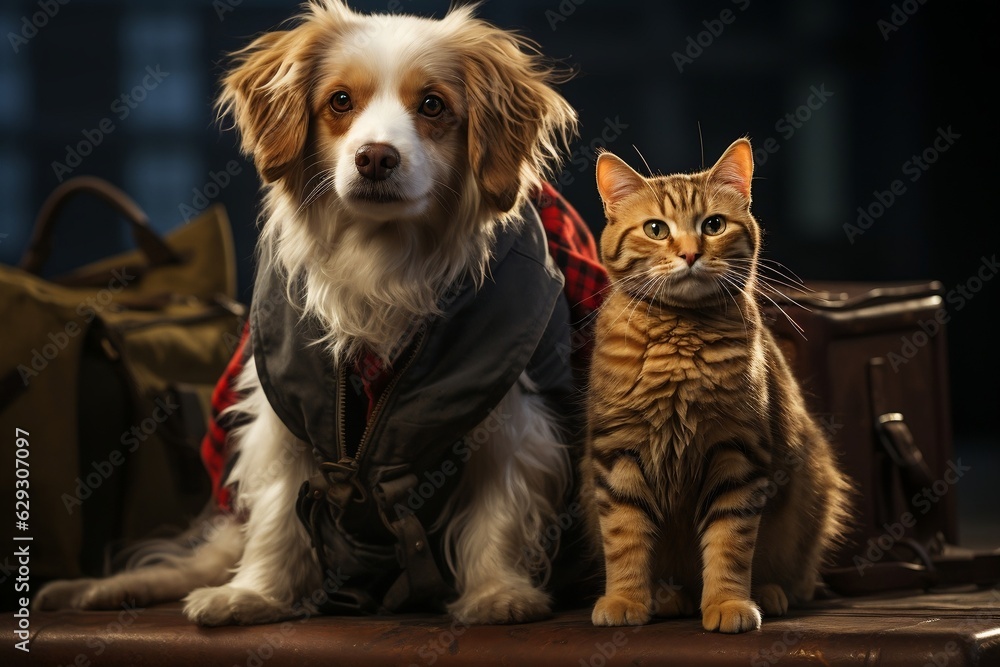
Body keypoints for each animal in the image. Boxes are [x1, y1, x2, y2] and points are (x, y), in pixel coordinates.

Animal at [33, 0, 580, 628]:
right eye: (340, 101)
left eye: (433, 106)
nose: (375, 157)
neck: (382, 257)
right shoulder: (283, 418)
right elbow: (276, 516)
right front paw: (255, 594)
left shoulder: (510, 415)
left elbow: (499, 510)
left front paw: (498, 593)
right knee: (201, 557)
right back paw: (101, 590)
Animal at [584, 138, 856, 636]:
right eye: (655, 229)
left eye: (713, 225)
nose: (691, 254)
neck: (680, 339)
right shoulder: (618, 453)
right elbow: (625, 538)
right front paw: (626, 598)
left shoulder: (737, 456)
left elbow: (730, 543)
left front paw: (728, 603)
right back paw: (667, 596)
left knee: (794, 577)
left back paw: (768, 592)